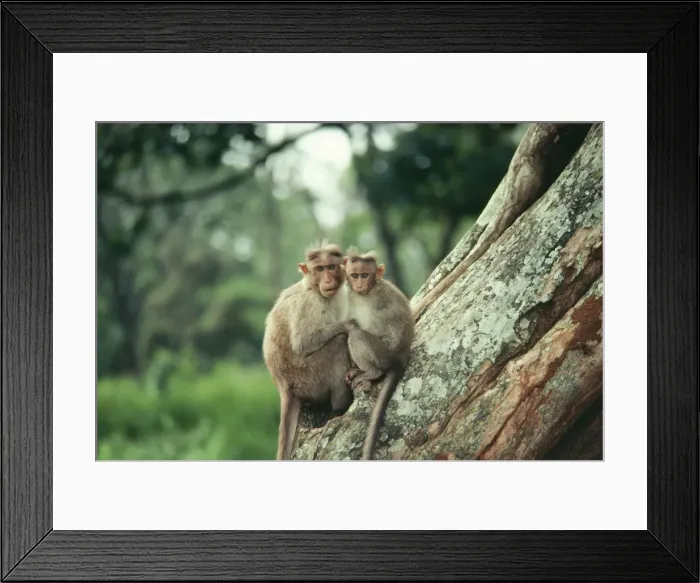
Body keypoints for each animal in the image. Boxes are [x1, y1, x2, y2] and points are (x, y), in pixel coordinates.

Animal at [262, 240, 354, 460]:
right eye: (319, 269)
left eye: (331, 266)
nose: (328, 280)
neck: (314, 287)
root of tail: (284, 386)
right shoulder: (308, 303)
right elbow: (303, 342)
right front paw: (349, 325)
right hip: (309, 379)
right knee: (338, 344)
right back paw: (341, 407)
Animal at [342, 247, 415, 460]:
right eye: (354, 275)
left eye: (365, 275)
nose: (359, 284)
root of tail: (401, 357)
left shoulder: (378, 298)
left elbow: (383, 327)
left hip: (383, 354)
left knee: (357, 334)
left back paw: (371, 372)